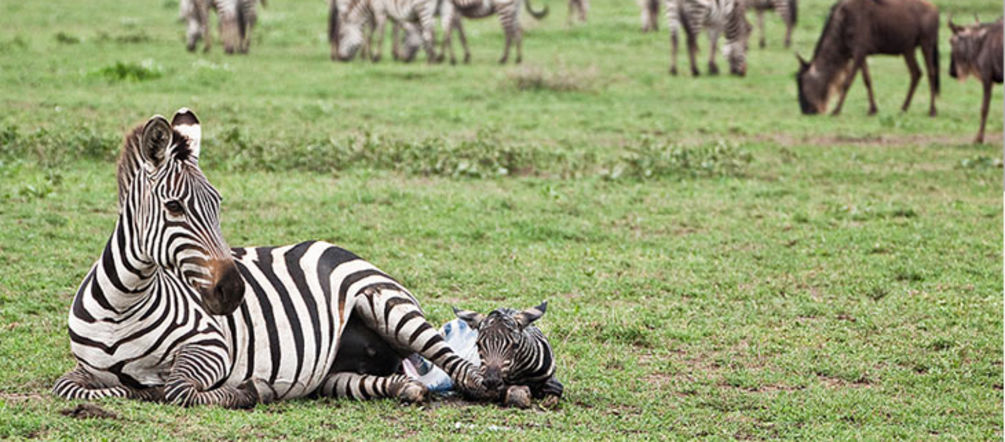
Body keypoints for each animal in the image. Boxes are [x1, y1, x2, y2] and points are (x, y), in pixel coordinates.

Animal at [54, 109, 486, 407]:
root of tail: (338, 247)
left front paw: (249, 390)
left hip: (391, 308)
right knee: (386, 382)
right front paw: (136, 389)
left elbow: (178, 389)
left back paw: (496, 385)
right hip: (336, 375)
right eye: (174, 207)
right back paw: (407, 388)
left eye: (218, 203)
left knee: (463, 368)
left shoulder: (211, 346)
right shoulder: (84, 370)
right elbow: (73, 388)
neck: (121, 306)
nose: (232, 290)